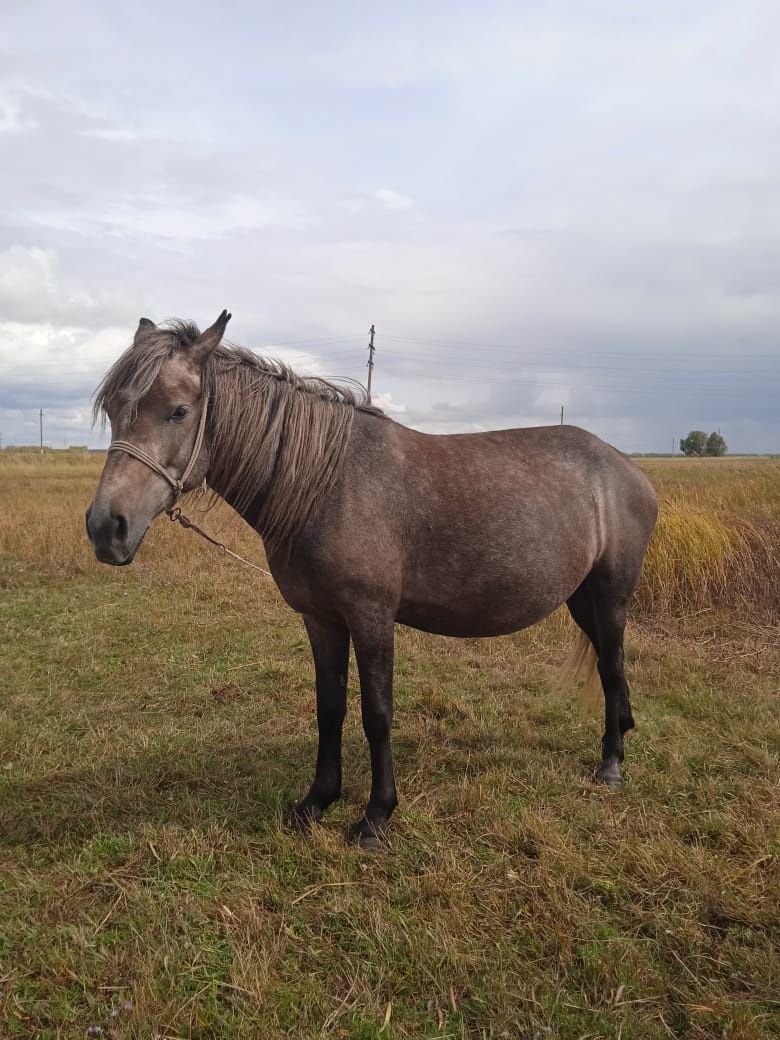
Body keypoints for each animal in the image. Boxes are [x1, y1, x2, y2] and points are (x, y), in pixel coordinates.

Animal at [85, 312, 661, 848]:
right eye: (113, 410)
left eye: (179, 411)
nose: (105, 528)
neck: (326, 484)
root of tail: (627, 468)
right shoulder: (321, 619)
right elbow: (330, 707)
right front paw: (316, 801)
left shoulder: (371, 617)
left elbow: (377, 713)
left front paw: (375, 816)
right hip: (580, 599)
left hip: (611, 595)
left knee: (612, 666)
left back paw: (611, 765)